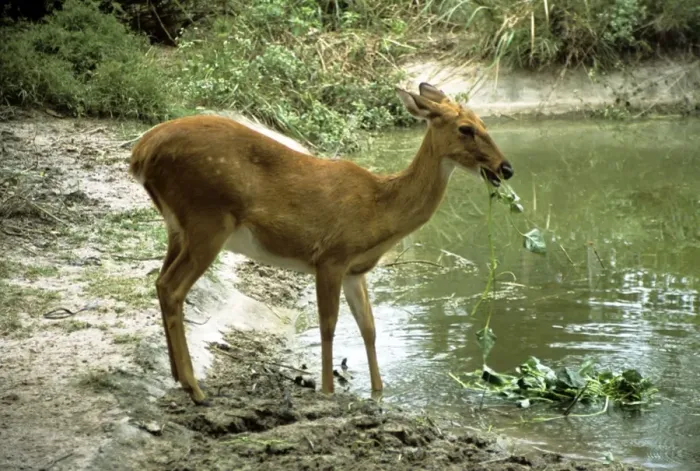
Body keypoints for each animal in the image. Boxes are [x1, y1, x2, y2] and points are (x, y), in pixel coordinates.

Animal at [129, 83, 513, 405]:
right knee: (172, 287)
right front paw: (328, 391)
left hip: (178, 226)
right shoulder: (331, 256)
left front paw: (378, 393)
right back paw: (195, 388)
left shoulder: (355, 270)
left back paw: (177, 377)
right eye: (466, 128)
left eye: (483, 122)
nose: (505, 168)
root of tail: (140, 154)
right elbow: (328, 325)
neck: (380, 208)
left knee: (160, 283)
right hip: (207, 218)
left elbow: (369, 328)